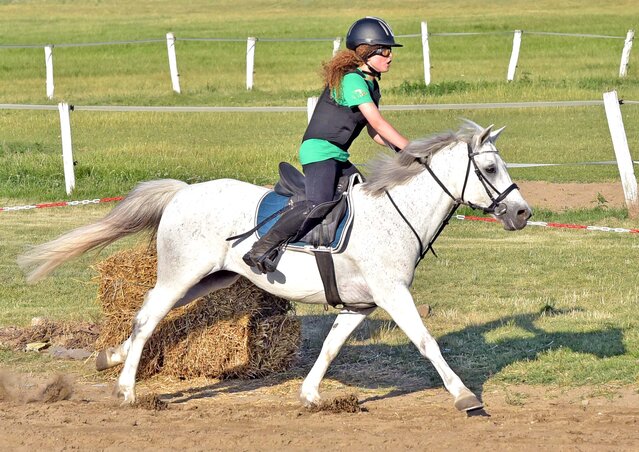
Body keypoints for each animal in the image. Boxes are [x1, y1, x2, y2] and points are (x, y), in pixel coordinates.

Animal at [18, 122, 528, 412]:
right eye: (489, 169)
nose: (522, 213)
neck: (395, 212)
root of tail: (183, 191)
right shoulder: (392, 295)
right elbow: (427, 343)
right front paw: (465, 397)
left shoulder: (359, 305)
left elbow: (330, 349)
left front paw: (311, 396)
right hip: (183, 274)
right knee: (147, 317)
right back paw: (125, 391)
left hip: (207, 279)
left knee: (150, 313)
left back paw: (111, 357)